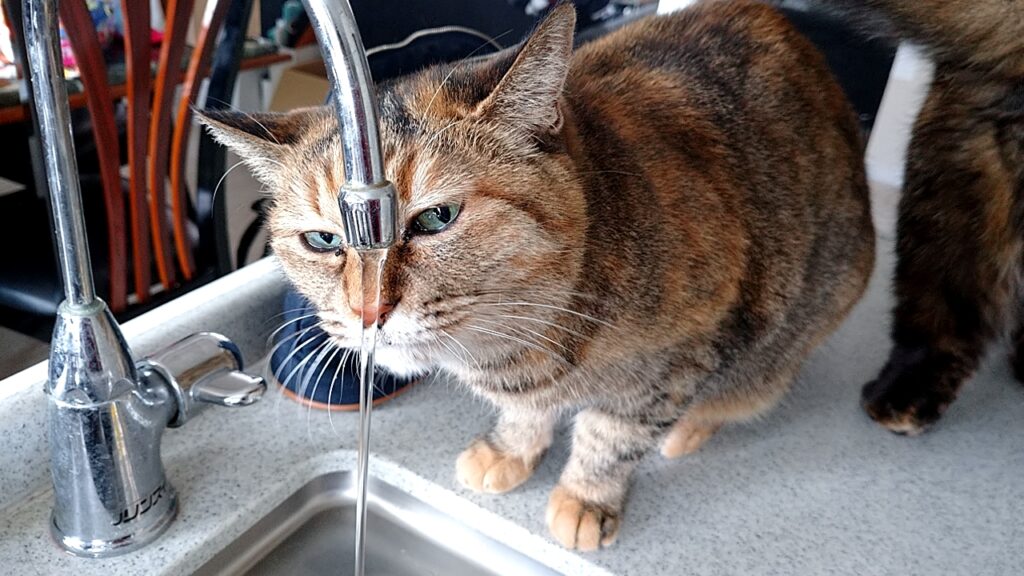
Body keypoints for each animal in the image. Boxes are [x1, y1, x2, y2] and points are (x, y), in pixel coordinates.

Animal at [199, 0, 874, 550]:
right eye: (322, 240)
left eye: (437, 217)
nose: (368, 313)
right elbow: (525, 416)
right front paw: (510, 448)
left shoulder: (682, 353)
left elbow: (613, 434)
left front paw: (585, 497)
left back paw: (689, 429)